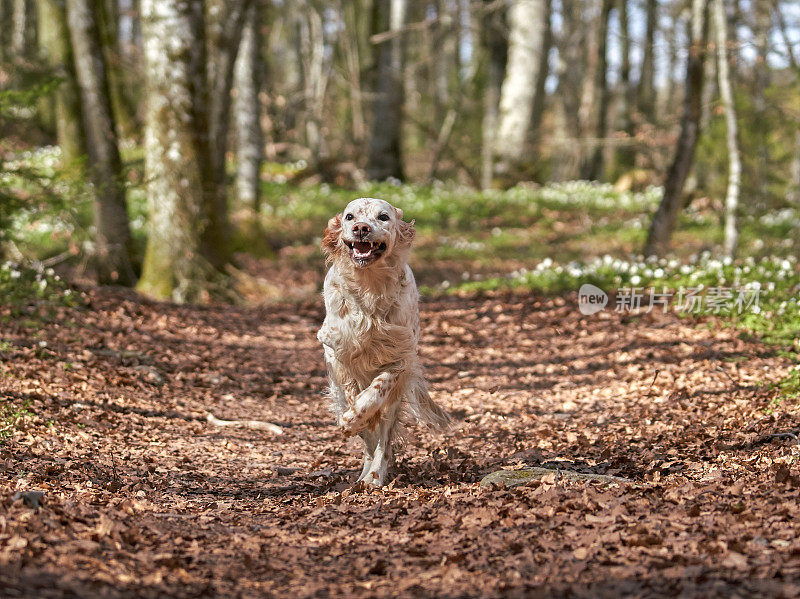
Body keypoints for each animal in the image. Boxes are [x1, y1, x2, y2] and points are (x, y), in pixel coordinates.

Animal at [316, 197, 450, 488]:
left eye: (383, 217)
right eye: (350, 216)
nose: (361, 228)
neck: (370, 287)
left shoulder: (401, 357)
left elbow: (375, 392)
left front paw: (357, 415)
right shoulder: (335, 351)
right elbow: (353, 395)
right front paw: (352, 419)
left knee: (384, 439)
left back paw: (375, 476)